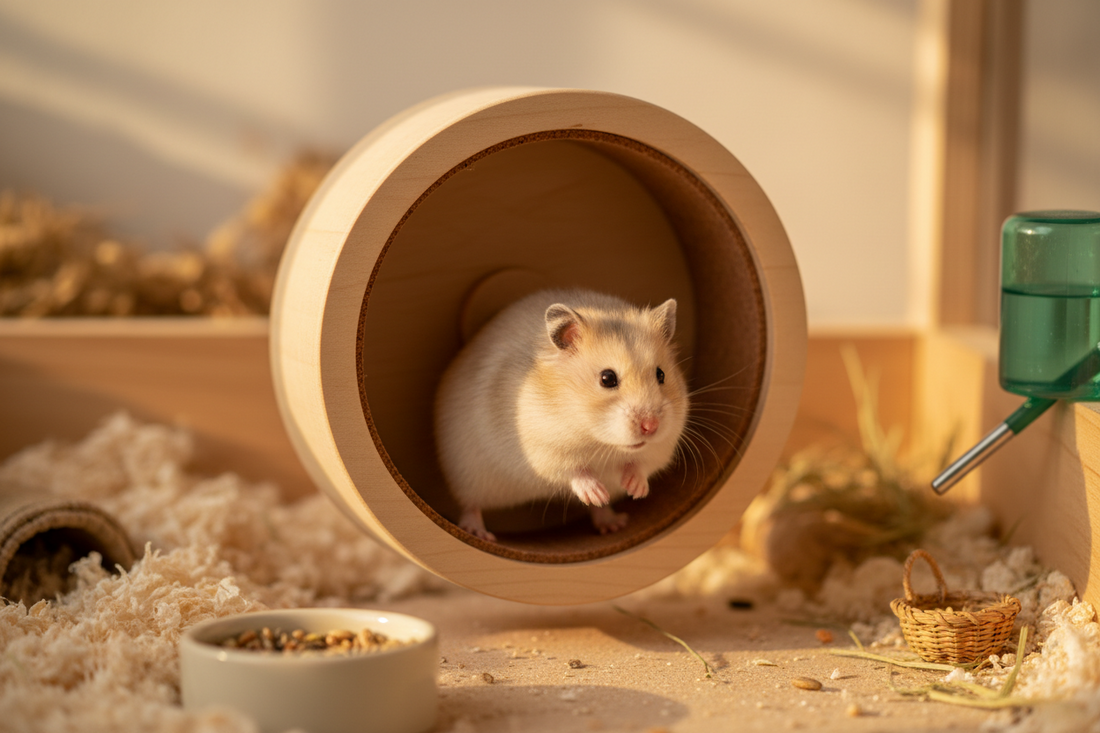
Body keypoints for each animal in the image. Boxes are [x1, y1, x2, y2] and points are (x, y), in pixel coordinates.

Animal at [434, 288, 689, 541]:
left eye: (661, 374)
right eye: (607, 378)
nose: (651, 426)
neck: (598, 441)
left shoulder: (661, 448)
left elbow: (641, 464)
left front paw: (636, 490)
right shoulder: (541, 452)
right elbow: (572, 471)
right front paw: (596, 492)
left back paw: (613, 523)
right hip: (468, 477)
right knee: (471, 505)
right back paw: (479, 533)